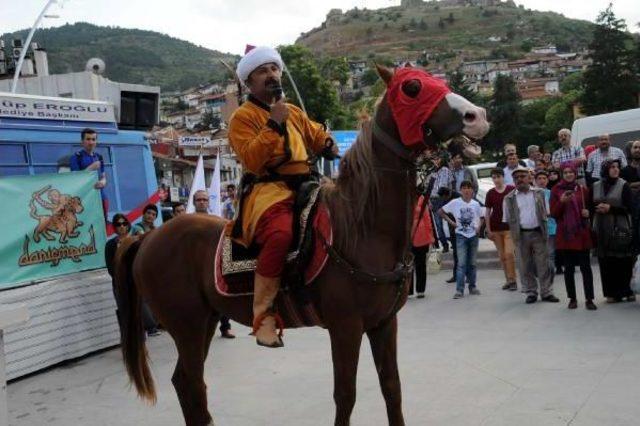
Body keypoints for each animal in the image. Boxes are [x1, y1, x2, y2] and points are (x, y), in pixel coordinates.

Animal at [115, 64, 488, 426]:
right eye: (412, 88)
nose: (477, 116)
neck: (361, 227)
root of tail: (147, 237)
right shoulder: (345, 326)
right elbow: (346, 395)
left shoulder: (383, 324)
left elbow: (392, 389)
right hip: (187, 325)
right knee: (192, 382)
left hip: (204, 320)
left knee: (186, 383)